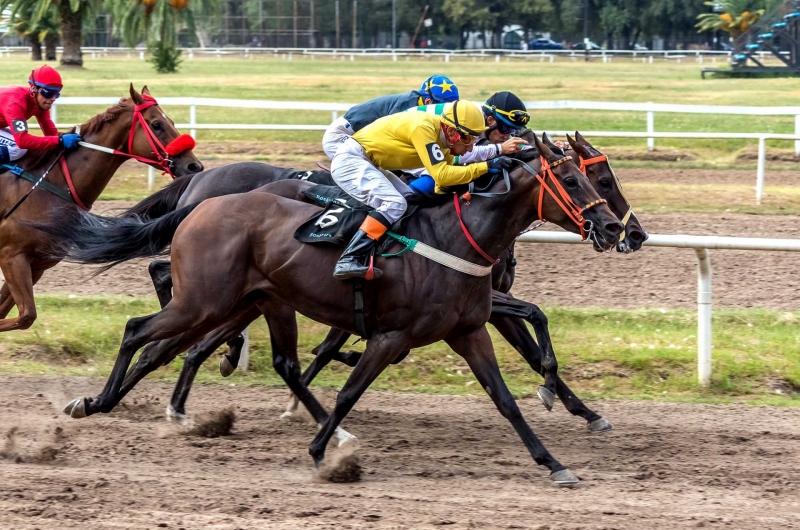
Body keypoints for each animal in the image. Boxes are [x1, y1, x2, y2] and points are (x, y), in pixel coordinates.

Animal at [0, 85, 203, 334]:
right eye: (157, 124)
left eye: (172, 121)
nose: (194, 166)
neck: (53, 183)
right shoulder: (12, 255)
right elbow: (25, 315)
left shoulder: (36, 264)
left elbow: (17, 314)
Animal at [40, 133, 620, 482]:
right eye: (576, 179)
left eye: (595, 175)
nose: (619, 229)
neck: (457, 237)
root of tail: (201, 202)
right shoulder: (392, 335)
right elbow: (348, 391)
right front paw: (323, 452)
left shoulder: (469, 330)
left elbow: (505, 400)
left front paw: (554, 460)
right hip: (206, 299)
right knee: (141, 328)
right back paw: (95, 401)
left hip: (254, 301)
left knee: (259, 358)